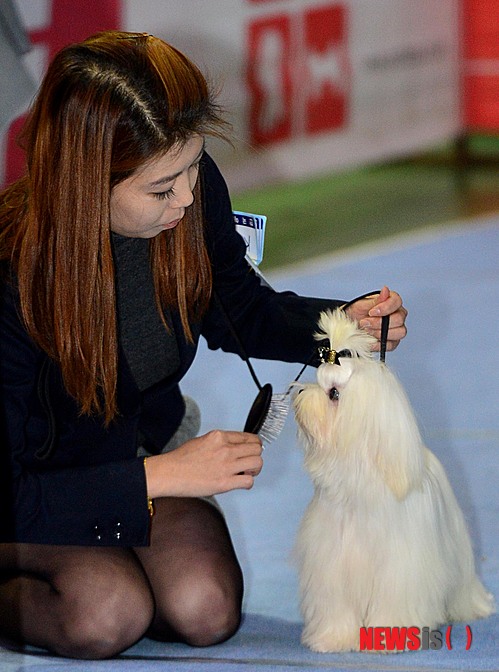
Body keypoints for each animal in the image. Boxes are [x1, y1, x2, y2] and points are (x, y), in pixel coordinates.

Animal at [294, 308, 494, 652]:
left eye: (334, 393)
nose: (300, 391)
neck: (358, 479)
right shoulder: (331, 565)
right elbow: (337, 608)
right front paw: (333, 639)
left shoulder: (400, 570)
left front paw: (390, 637)